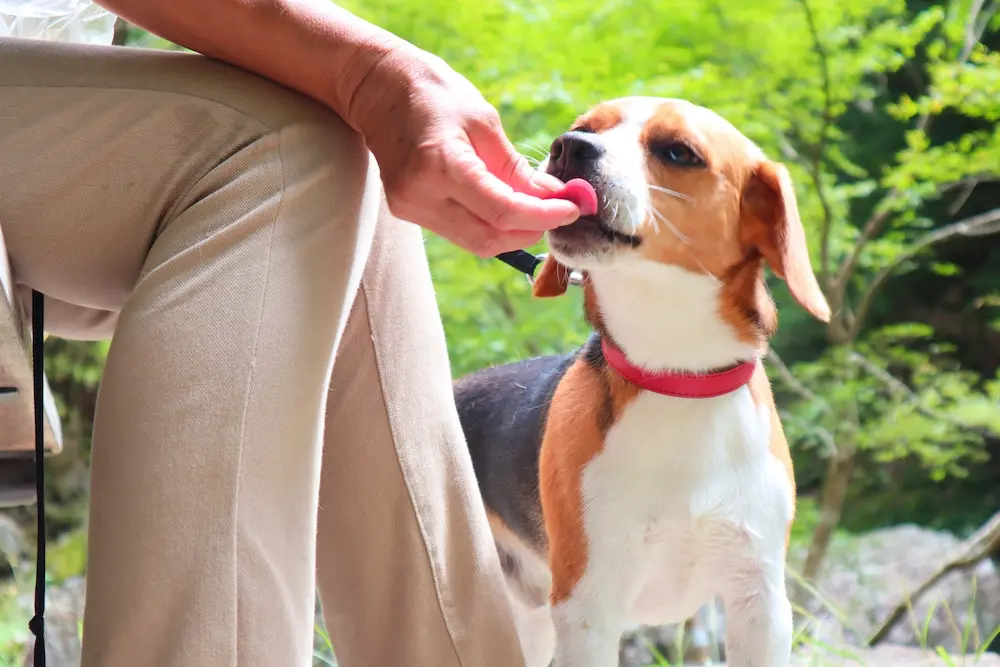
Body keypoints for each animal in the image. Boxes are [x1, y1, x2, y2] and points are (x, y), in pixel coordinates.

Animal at [454, 95, 828, 667]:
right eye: (584, 128)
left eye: (678, 151)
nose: (568, 148)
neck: (675, 377)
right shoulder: (588, 608)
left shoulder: (760, 600)